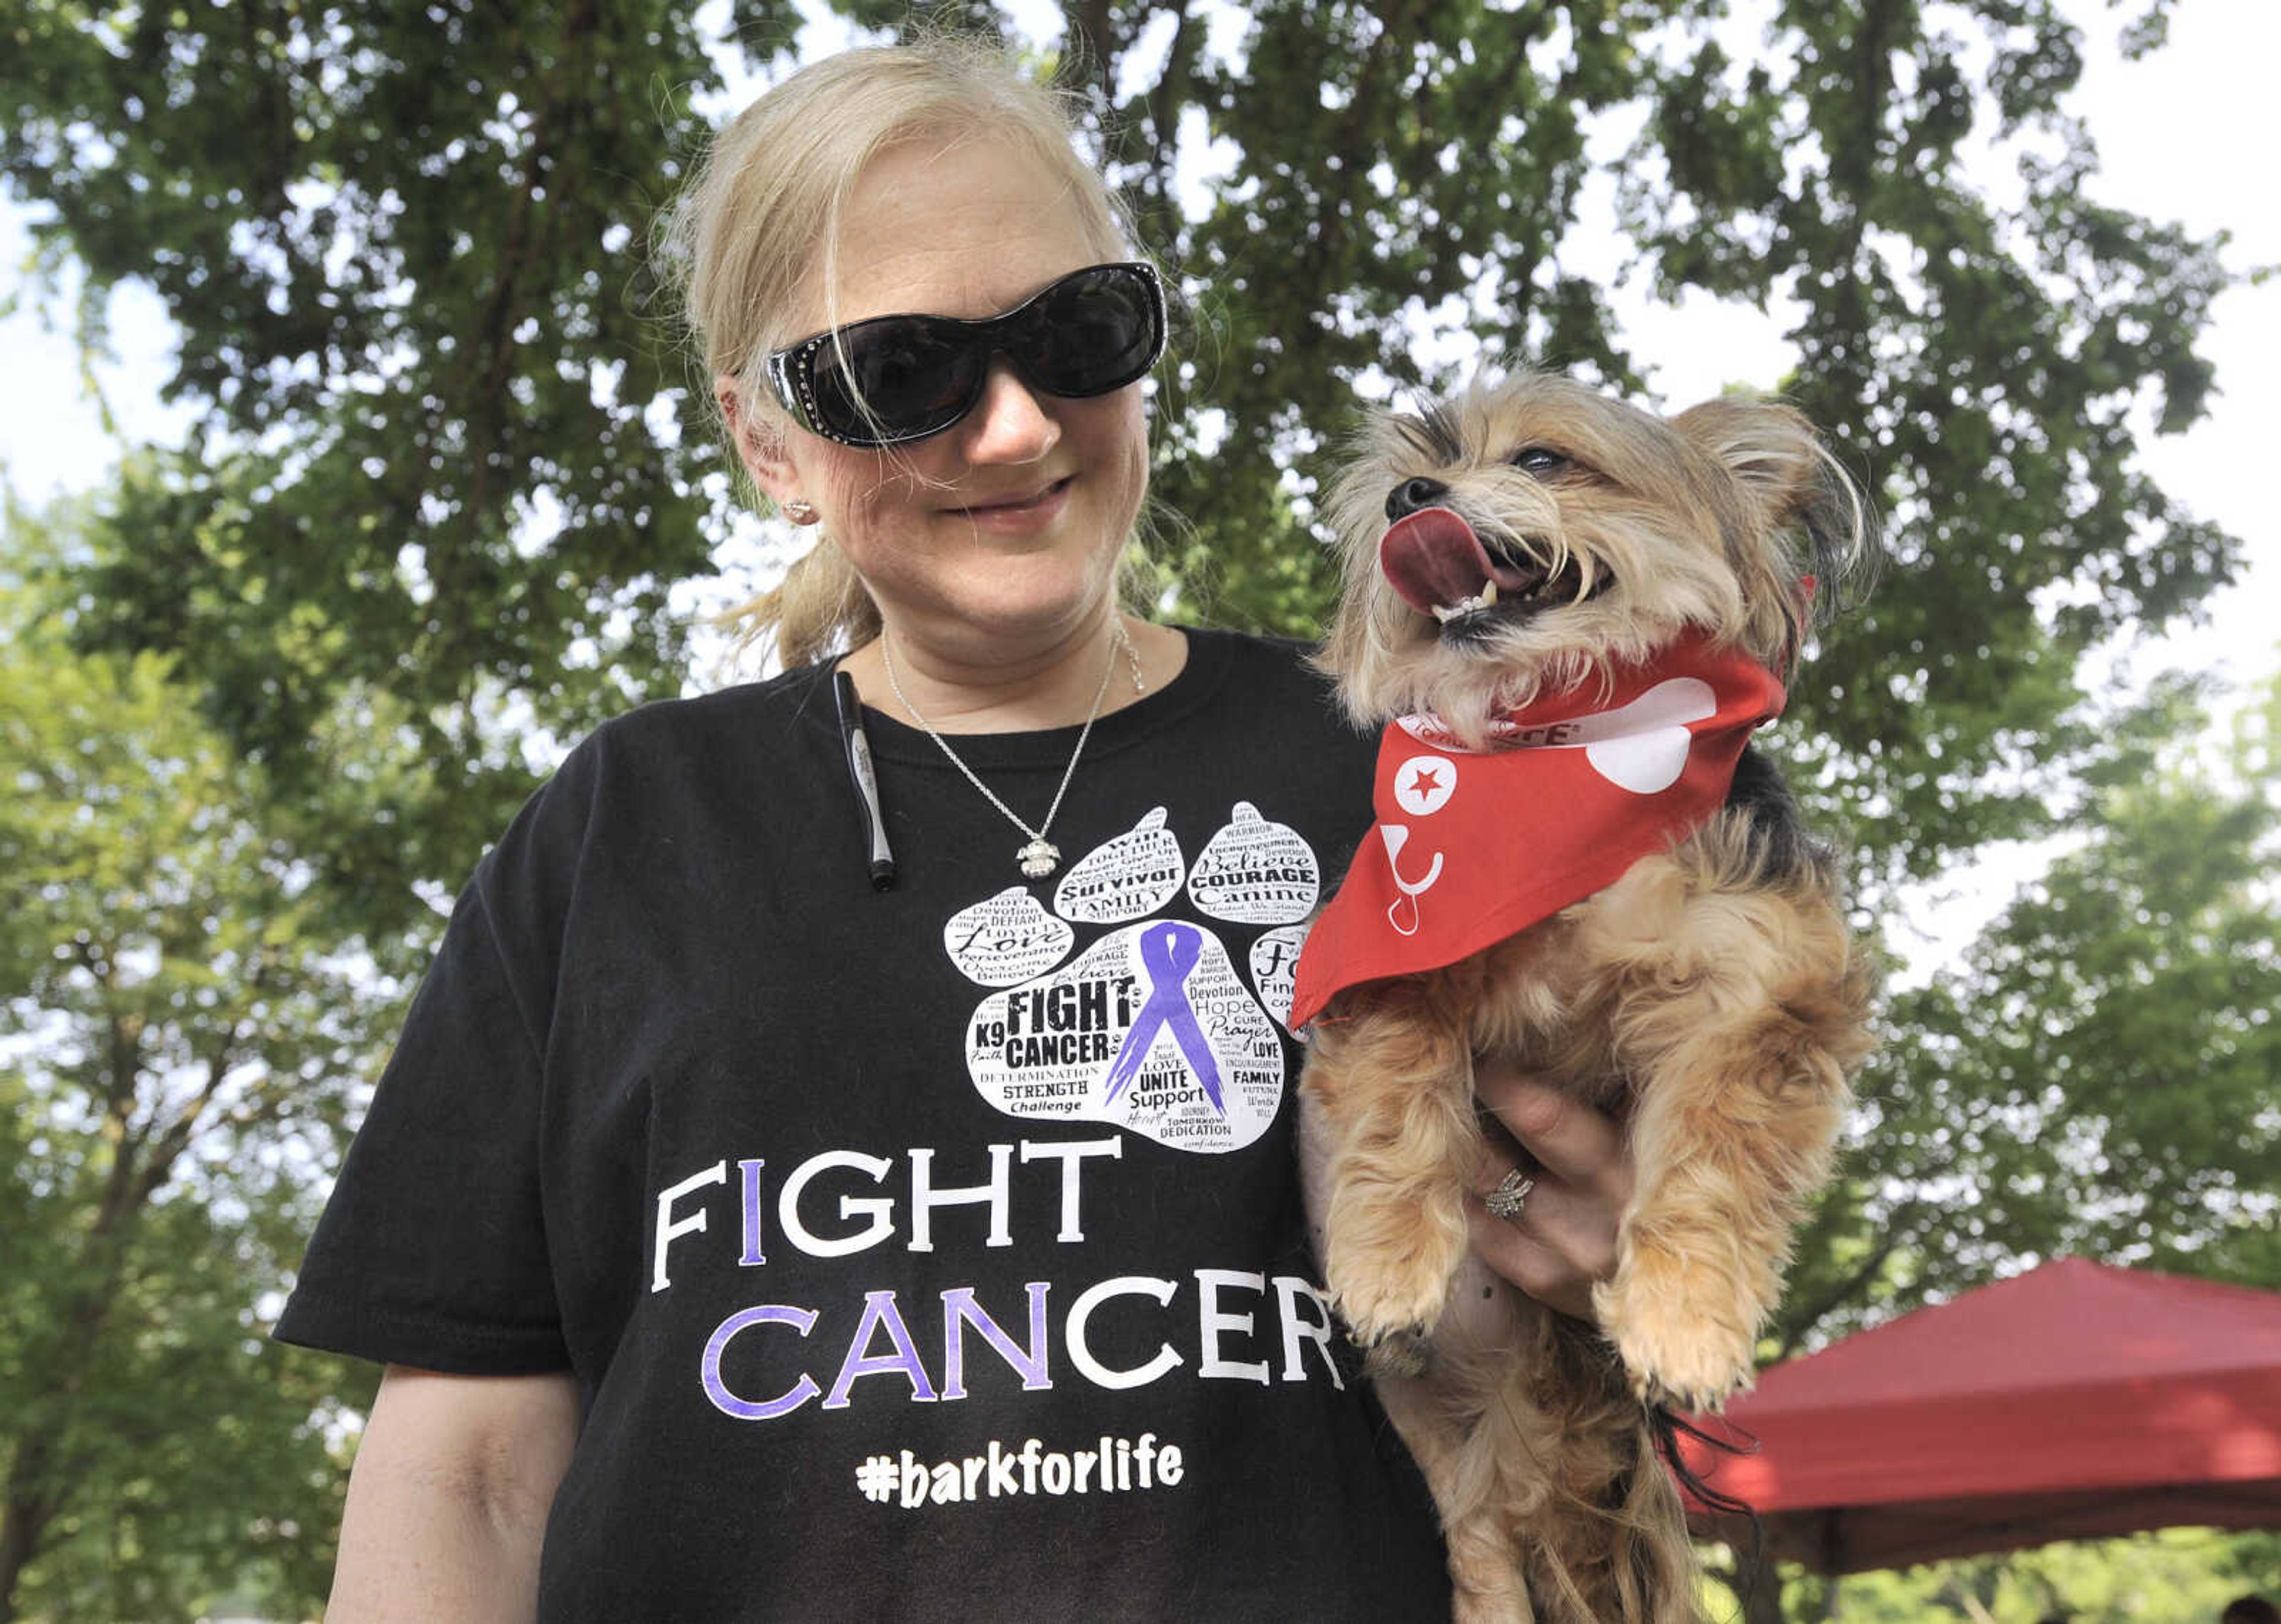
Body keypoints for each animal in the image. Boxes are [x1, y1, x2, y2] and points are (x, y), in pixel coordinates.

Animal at [1296, 371, 1879, 1624]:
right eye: (1401, 480)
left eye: (1543, 459)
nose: (1414, 499)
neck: (1561, 744)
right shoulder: (1395, 949)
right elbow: (1396, 1108)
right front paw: (1386, 1263)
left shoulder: (1765, 989)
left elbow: (1712, 1159)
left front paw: (1685, 1317)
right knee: (1477, 1545)